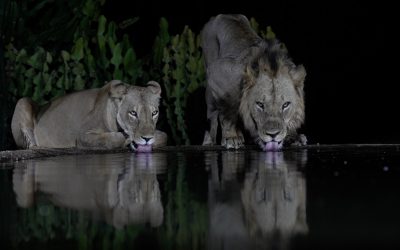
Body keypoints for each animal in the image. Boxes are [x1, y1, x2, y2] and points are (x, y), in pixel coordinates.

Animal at [11, 80, 167, 151]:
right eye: (133, 113)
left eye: (154, 113)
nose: (147, 139)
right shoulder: (83, 136)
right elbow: (110, 140)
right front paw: (127, 139)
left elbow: (164, 136)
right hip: (22, 101)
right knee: (30, 145)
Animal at [202, 14, 308, 150]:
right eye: (260, 104)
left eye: (285, 105)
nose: (273, 135)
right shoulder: (218, 73)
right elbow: (226, 112)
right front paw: (231, 137)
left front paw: (293, 137)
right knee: (212, 114)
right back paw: (210, 141)